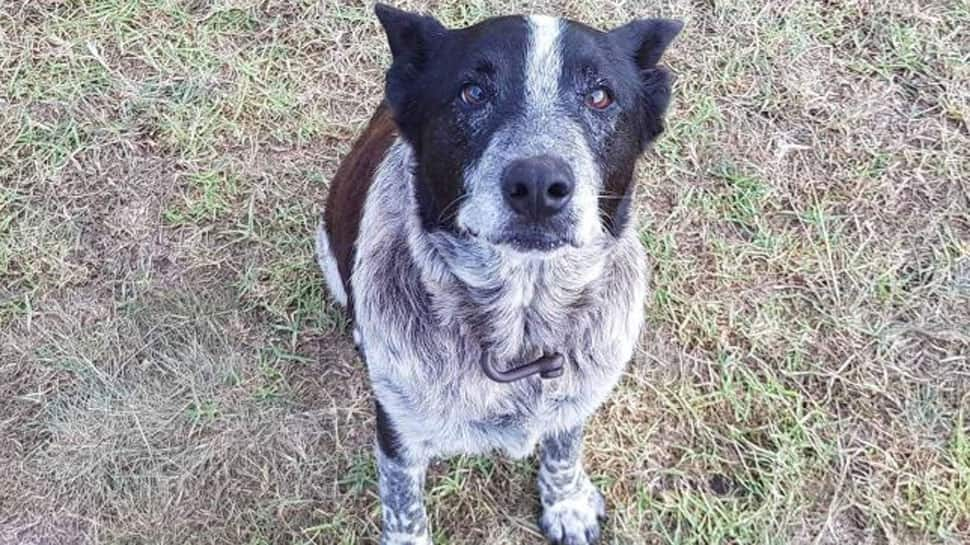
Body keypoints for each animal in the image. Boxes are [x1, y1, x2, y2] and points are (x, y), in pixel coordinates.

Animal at [318, 5, 680, 544]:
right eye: (473, 92)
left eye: (600, 96)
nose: (538, 184)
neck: (520, 328)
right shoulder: (399, 428)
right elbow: (403, 505)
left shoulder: (576, 396)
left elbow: (563, 448)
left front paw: (566, 503)